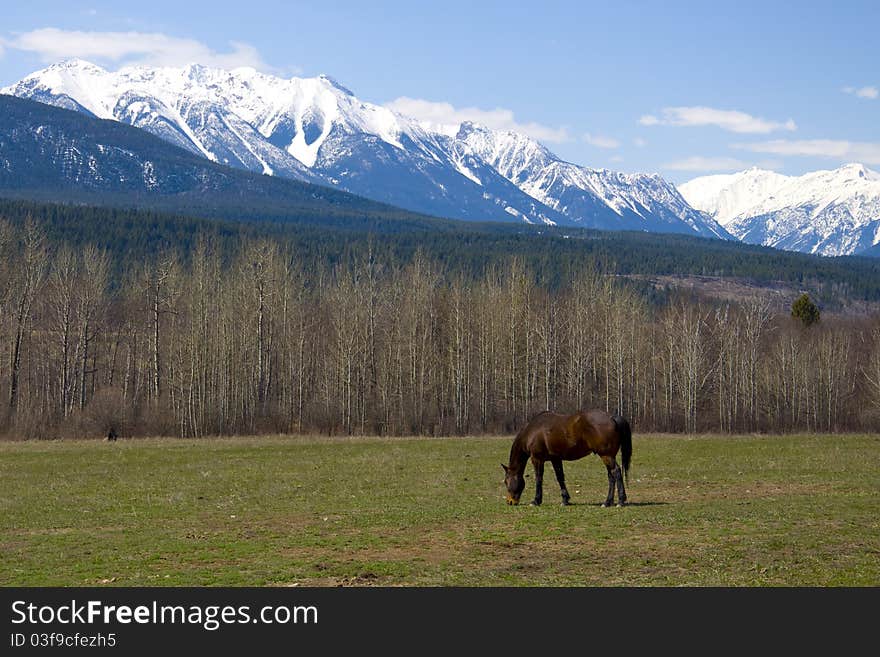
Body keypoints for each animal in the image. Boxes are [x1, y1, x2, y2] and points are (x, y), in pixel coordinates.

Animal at [502, 410, 632, 508]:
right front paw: (565, 500)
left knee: (616, 472)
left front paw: (536, 500)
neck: (532, 431)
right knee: (611, 476)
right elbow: (560, 477)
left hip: (606, 456)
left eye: (506, 481)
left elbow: (539, 479)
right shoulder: (555, 459)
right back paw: (608, 502)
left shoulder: (537, 459)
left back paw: (620, 501)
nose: (510, 502)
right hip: (607, 456)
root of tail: (612, 417)